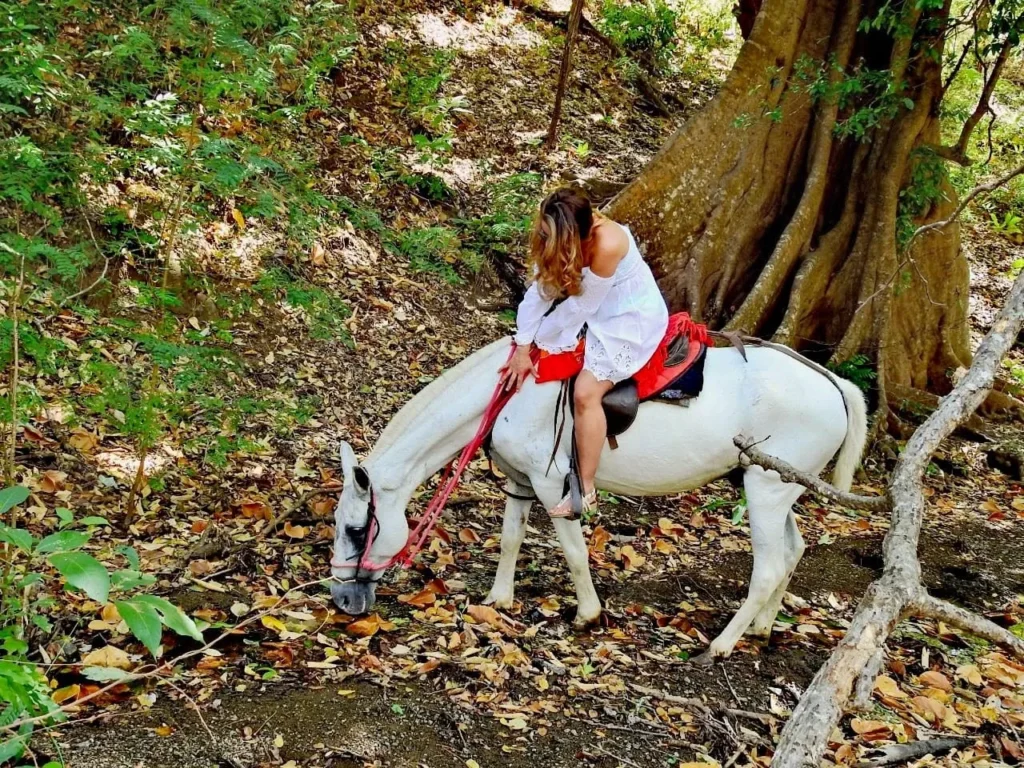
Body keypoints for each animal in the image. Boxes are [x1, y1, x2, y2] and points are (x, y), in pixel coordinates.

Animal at [329, 336, 867, 662]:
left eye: (357, 529)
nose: (342, 599)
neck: (512, 395)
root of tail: (834, 384)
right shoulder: (521, 482)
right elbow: (510, 539)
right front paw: (498, 599)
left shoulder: (552, 486)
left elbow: (574, 553)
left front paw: (588, 614)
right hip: (777, 488)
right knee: (793, 551)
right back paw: (761, 628)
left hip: (765, 491)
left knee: (770, 568)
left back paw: (721, 644)